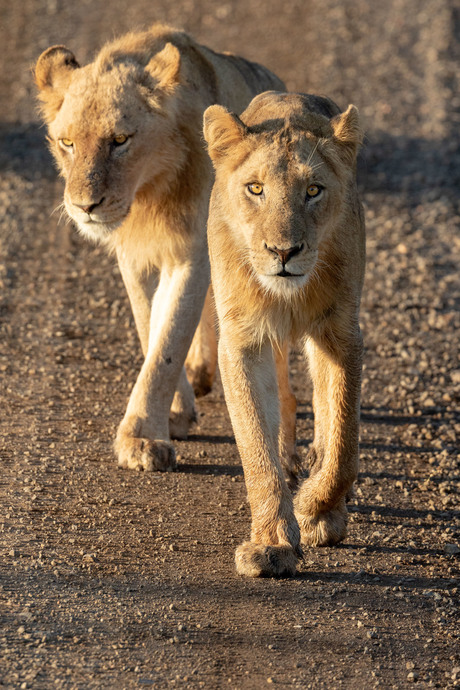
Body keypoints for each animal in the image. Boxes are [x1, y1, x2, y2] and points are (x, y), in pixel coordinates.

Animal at [34, 24, 284, 470]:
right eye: (67, 143)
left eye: (120, 140)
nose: (84, 206)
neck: (149, 192)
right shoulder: (133, 255)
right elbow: (150, 325)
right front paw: (173, 413)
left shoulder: (193, 253)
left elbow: (168, 340)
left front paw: (141, 438)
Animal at [205, 91, 366, 576]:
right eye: (255, 189)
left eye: (313, 190)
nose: (284, 252)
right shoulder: (241, 341)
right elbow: (256, 446)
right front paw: (272, 543)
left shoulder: (341, 334)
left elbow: (343, 441)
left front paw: (313, 508)